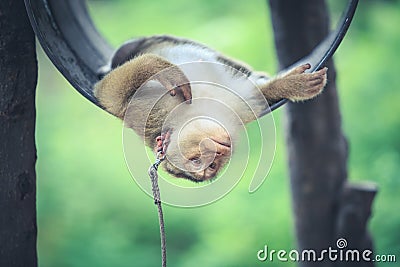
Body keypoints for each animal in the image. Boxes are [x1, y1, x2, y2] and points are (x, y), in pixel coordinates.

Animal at [95, 35, 326, 182]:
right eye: (205, 165)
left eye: (199, 160)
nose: (218, 152)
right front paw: (289, 85)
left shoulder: (148, 109)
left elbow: (110, 93)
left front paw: (163, 70)